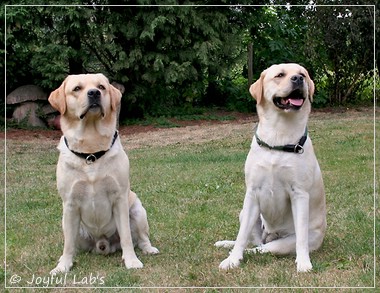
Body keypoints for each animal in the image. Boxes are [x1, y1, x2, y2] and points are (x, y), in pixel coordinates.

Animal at [49, 73, 159, 274]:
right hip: (67, 222)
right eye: (77, 88)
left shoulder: (120, 198)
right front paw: (63, 266)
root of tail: (103, 243)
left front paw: (131, 261)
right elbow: (68, 244)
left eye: (101, 86)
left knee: (141, 238)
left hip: (138, 210)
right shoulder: (69, 204)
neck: (91, 152)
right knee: (72, 242)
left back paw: (149, 249)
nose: (94, 93)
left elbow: (126, 237)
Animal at [215, 63, 326, 272]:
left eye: (303, 74)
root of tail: (271, 235)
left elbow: (301, 238)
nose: (298, 79)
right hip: (246, 214)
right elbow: (241, 236)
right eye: (280, 75)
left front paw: (304, 262)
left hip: (285, 242)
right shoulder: (252, 193)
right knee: (252, 242)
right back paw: (228, 245)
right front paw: (232, 260)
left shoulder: (299, 194)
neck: (278, 137)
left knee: (262, 248)